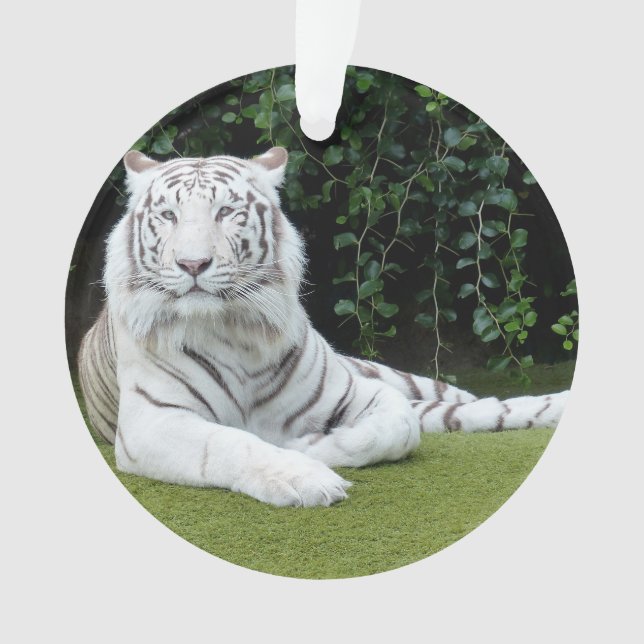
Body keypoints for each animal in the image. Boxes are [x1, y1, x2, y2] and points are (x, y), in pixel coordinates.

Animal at [78, 146, 569, 507]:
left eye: (226, 212)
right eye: (168, 216)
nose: (193, 264)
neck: (234, 330)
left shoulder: (362, 393)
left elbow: (396, 429)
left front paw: (307, 445)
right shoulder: (151, 421)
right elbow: (230, 443)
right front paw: (302, 476)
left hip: (395, 376)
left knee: (466, 405)